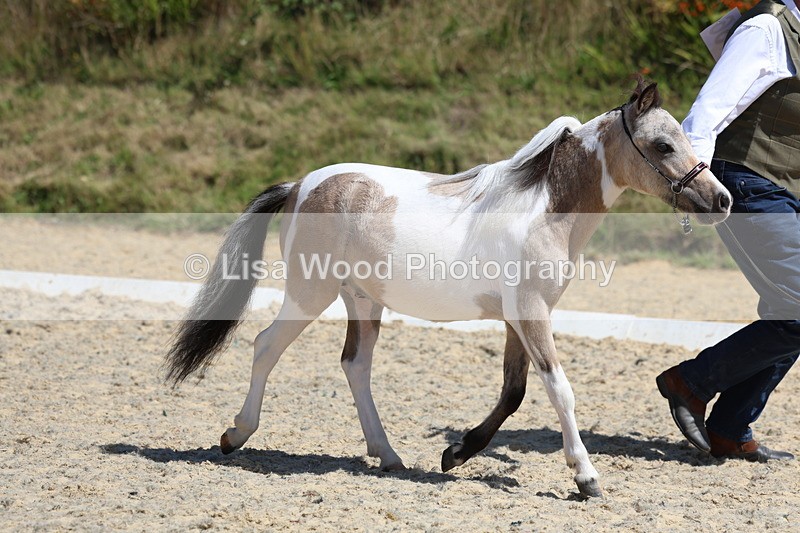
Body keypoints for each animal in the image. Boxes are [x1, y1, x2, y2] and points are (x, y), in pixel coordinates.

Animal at [166, 81, 731, 498]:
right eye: (663, 145)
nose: (721, 200)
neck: (545, 209)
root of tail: (300, 185)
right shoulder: (532, 313)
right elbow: (559, 389)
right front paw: (586, 478)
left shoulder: (516, 318)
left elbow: (513, 392)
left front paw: (454, 454)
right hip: (311, 292)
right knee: (266, 346)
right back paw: (235, 435)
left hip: (362, 299)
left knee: (355, 365)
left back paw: (389, 456)